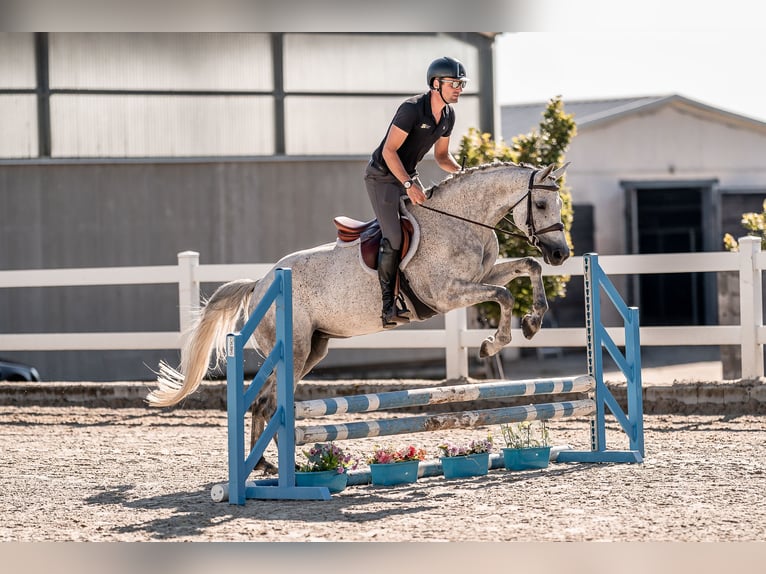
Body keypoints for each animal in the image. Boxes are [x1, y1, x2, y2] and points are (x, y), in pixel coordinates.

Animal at [146, 161, 571, 472]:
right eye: (542, 205)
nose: (561, 254)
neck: (459, 219)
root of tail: (261, 282)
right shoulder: (448, 294)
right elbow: (503, 295)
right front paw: (493, 343)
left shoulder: (481, 277)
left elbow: (527, 266)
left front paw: (533, 321)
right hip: (294, 352)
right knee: (270, 402)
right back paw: (278, 468)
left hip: (312, 351)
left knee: (264, 402)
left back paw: (266, 465)